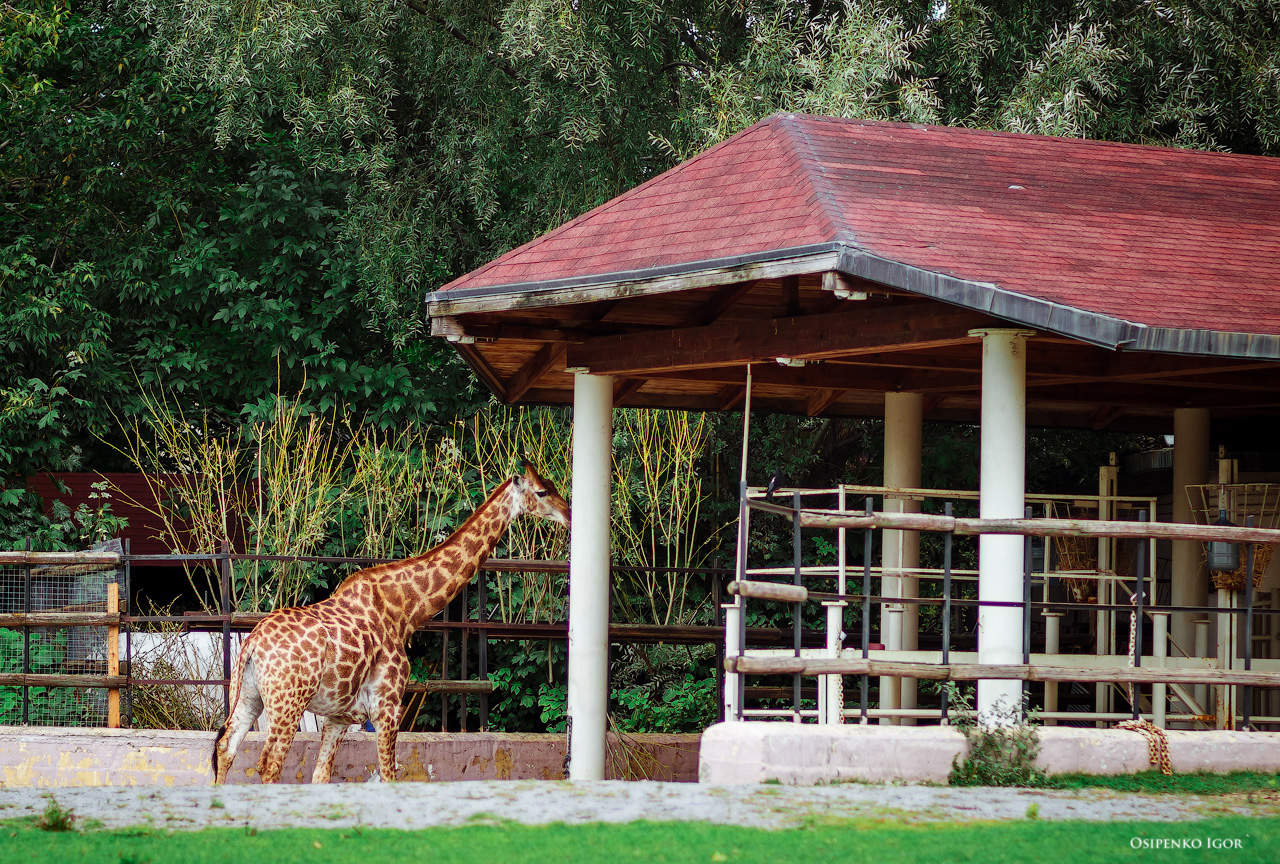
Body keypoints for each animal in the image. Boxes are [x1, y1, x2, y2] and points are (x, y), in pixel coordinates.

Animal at [213, 460, 570, 784]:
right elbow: (388, 776)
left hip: (249, 696)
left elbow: (321, 776)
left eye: (552, 485)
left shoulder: (339, 716)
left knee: (226, 748)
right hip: (288, 702)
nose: (569, 515)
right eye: (542, 491)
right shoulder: (387, 706)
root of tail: (253, 643)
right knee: (268, 765)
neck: (405, 610)